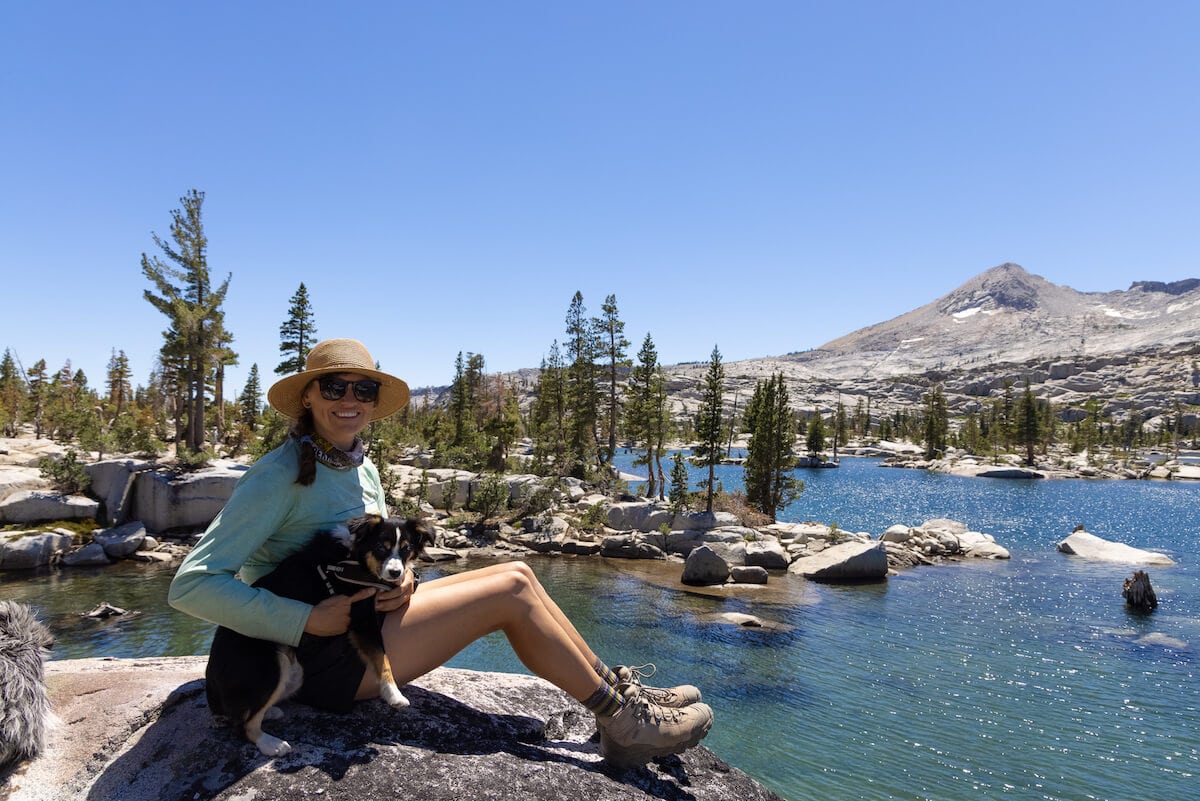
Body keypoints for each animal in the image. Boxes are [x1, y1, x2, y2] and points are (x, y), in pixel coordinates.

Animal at [206, 515, 436, 753]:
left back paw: (270, 713)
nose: (395, 573)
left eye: (406, 548)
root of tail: (211, 684)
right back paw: (272, 744)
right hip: (272, 665)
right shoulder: (362, 618)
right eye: (381, 547)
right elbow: (382, 657)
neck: (353, 558)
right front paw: (394, 695)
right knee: (243, 725)